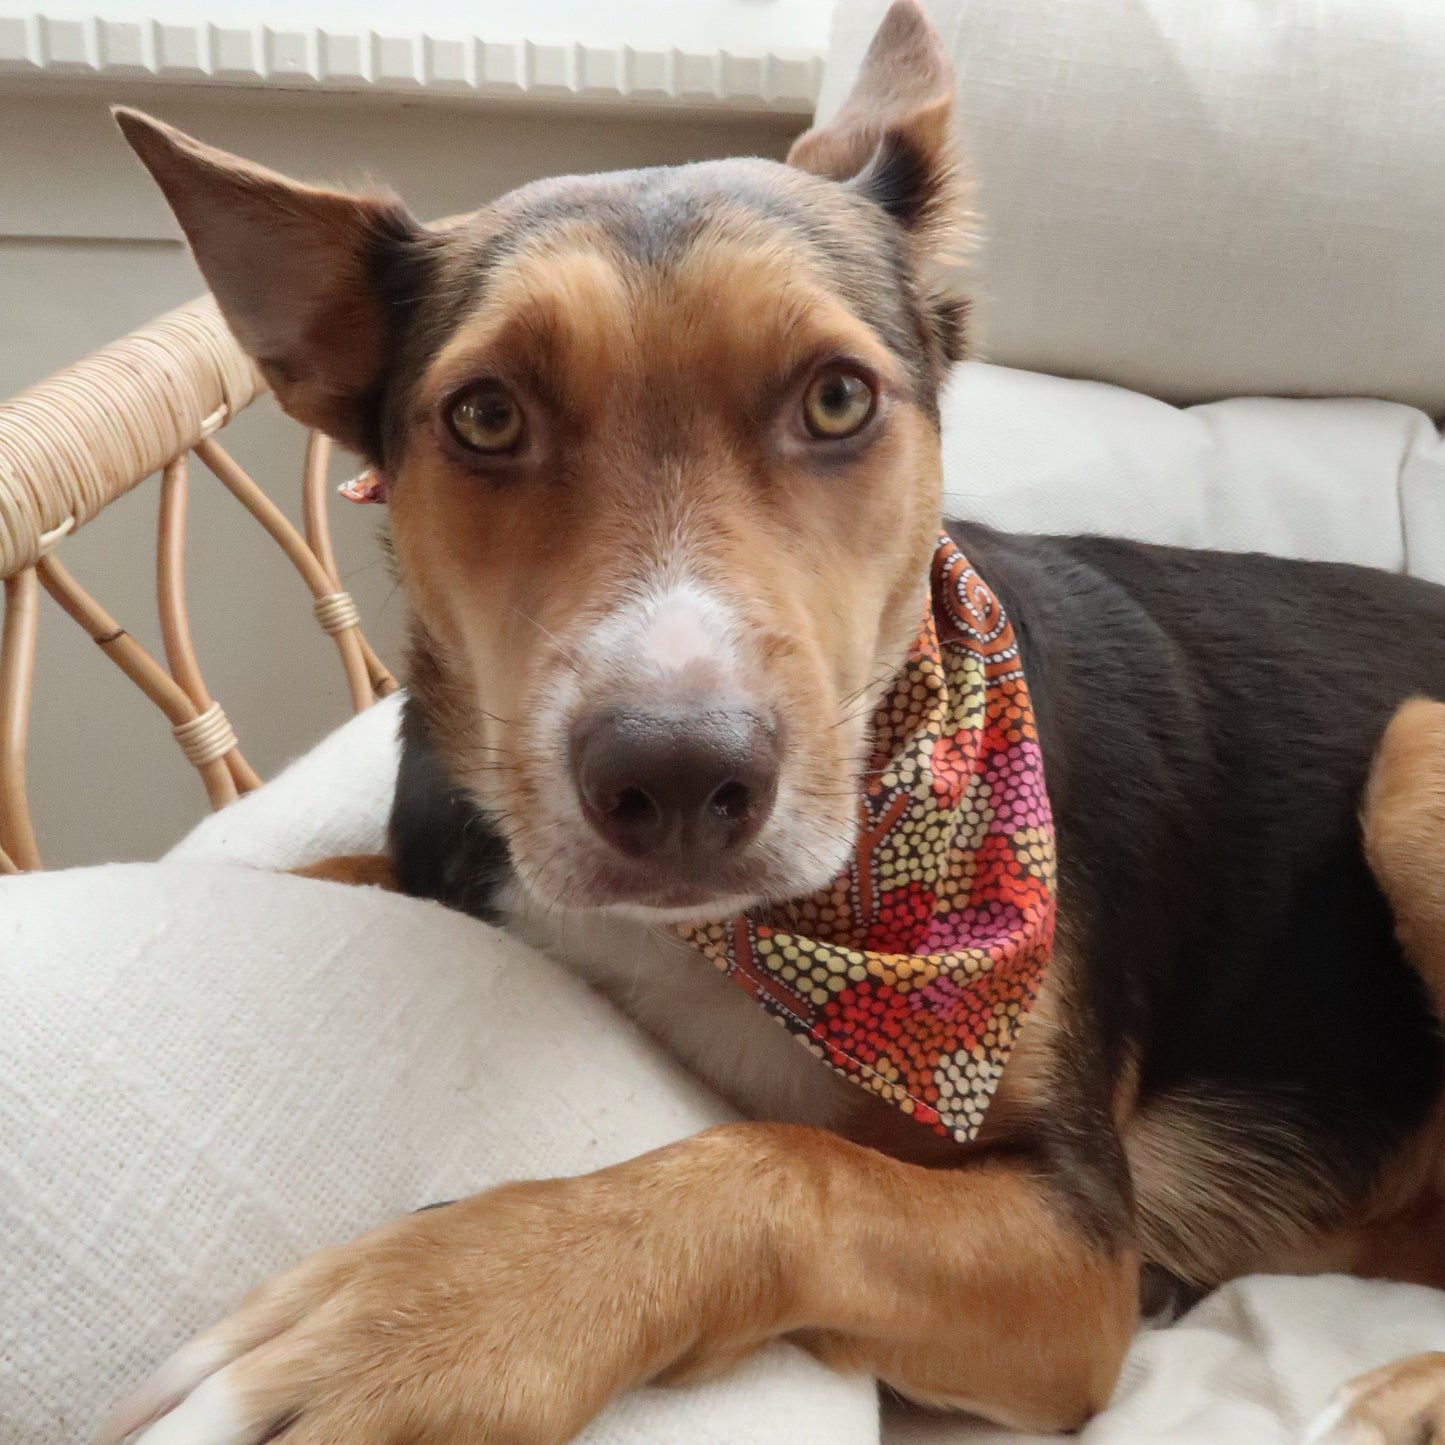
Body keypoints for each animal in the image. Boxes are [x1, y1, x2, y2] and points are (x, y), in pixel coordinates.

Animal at [104, 2, 1445, 1445]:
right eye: (485, 415)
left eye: (838, 398)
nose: (678, 778)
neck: (752, 931)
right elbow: (329, 871)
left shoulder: (1080, 1248)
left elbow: (788, 1166)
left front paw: (425, 1321)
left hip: (1410, 757)